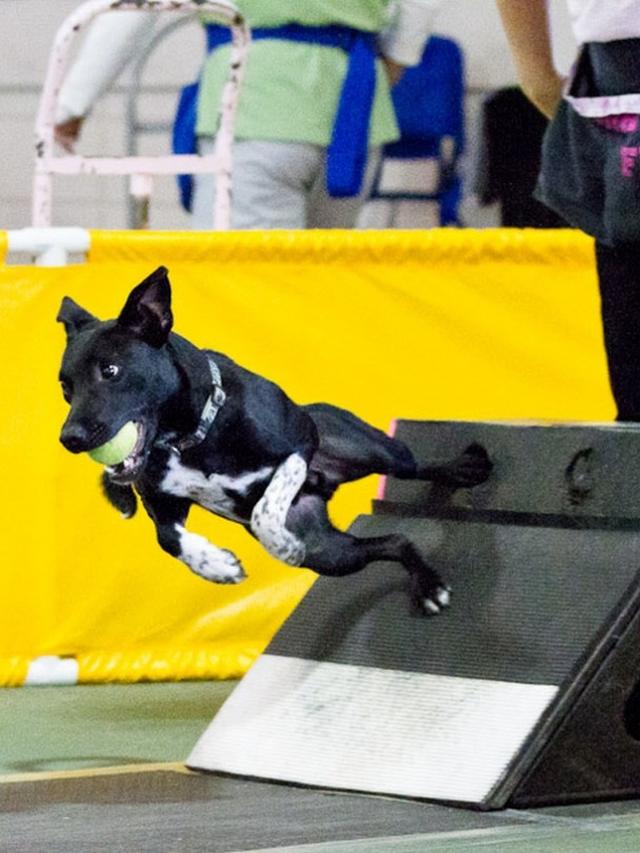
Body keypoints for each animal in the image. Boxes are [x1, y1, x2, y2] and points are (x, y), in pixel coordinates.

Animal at [58, 266, 490, 612]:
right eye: (65, 388)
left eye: (110, 371)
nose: (69, 438)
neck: (195, 436)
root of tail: (324, 489)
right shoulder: (165, 505)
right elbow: (168, 538)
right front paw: (214, 565)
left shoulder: (299, 442)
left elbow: (265, 507)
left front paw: (277, 543)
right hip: (331, 554)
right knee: (394, 541)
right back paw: (426, 584)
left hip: (369, 449)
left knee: (412, 466)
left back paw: (463, 476)